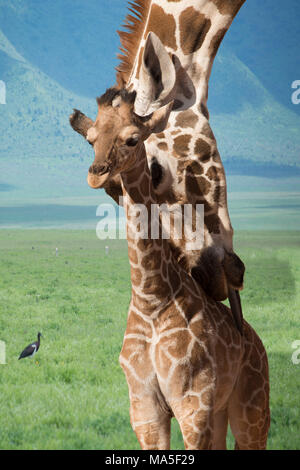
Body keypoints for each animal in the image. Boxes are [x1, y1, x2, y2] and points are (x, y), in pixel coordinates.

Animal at [69, 82, 270, 450]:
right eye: (91, 139)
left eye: (133, 138)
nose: (96, 174)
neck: (151, 297)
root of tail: (256, 340)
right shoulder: (145, 412)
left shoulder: (193, 408)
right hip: (220, 412)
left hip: (252, 406)